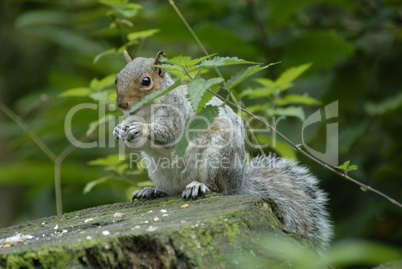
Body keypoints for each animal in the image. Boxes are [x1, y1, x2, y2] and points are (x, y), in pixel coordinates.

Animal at [113, 50, 332, 251]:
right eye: (117, 79)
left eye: (146, 81)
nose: (121, 104)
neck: (146, 111)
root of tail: (239, 187)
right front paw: (119, 130)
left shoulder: (177, 112)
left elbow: (168, 133)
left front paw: (142, 129)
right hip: (159, 170)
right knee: (169, 190)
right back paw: (151, 191)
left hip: (217, 157)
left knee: (217, 188)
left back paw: (198, 186)